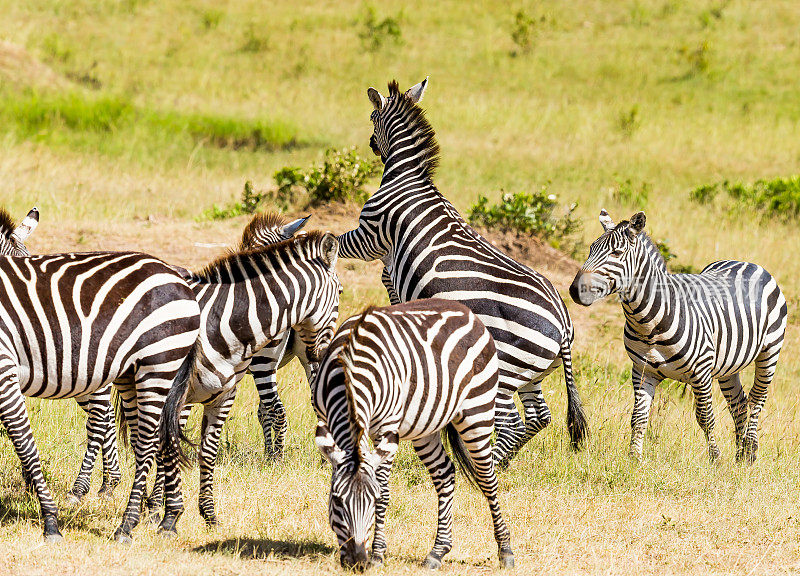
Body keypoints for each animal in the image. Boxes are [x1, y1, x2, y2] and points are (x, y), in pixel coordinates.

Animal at [0, 249, 203, 540]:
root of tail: (176, 273)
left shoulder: (4, 367)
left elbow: (23, 442)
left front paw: (50, 520)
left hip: (158, 363)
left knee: (147, 442)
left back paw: (127, 525)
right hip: (137, 373)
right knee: (162, 436)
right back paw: (169, 519)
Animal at [312, 302, 512, 572]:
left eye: (373, 502)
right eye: (337, 501)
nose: (358, 562)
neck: (349, 375)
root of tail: (464, 309)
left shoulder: (386, 428)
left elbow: (384, 489)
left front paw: (378, 554)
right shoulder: (325, 418)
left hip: (478, 412)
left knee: (488, 479)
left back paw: (505, 551)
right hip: (425, 427)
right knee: (445, 473)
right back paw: (437, 552)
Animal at [336, 80, 588, 468]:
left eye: (371, 118)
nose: (372, 146)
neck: (408, 177)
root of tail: (564, 324)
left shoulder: (368, 235)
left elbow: (332, 241)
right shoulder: (384, 252)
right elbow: (387, 279)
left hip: (504, 369)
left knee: (512, 423)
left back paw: (490, 463)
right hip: (531, 372)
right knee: (538, 417)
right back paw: (503, 461)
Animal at [568, 209, 788, 462]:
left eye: (617, 253)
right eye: (591, 249)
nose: (574, 290)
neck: (648, 323)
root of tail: (746, 262)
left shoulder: (701, 372)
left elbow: (705, 418)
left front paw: (715, 459)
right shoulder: (642, 371)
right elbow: (638, 418)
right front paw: (634, 458)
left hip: (770, 352)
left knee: (757, 400)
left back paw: (750, 452)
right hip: (728, 364)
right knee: (739, 403)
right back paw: (740, 456)